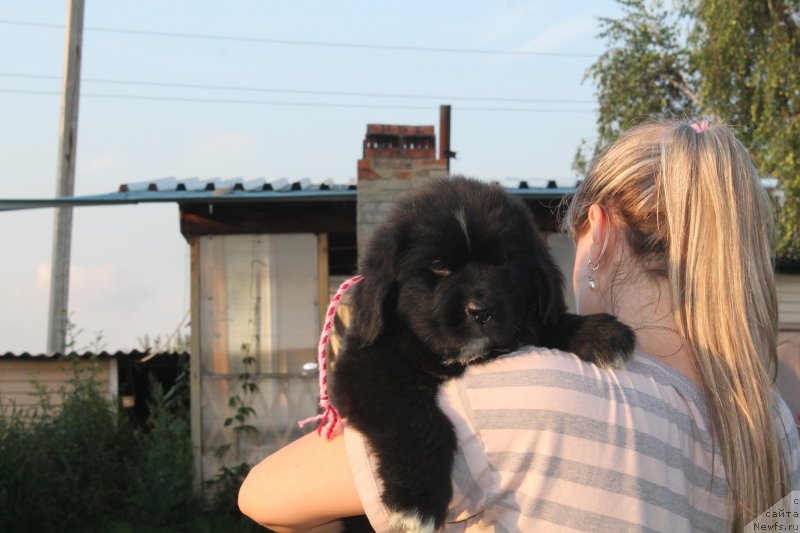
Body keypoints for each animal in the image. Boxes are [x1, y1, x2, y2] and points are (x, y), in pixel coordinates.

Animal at [332, 177, 632, 528]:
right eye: (438, 267)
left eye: (501, 261)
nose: (480, 311)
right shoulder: (366, 367)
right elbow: (416, 420)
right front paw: (418, 501)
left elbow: (546, 324)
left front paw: (600, 332)